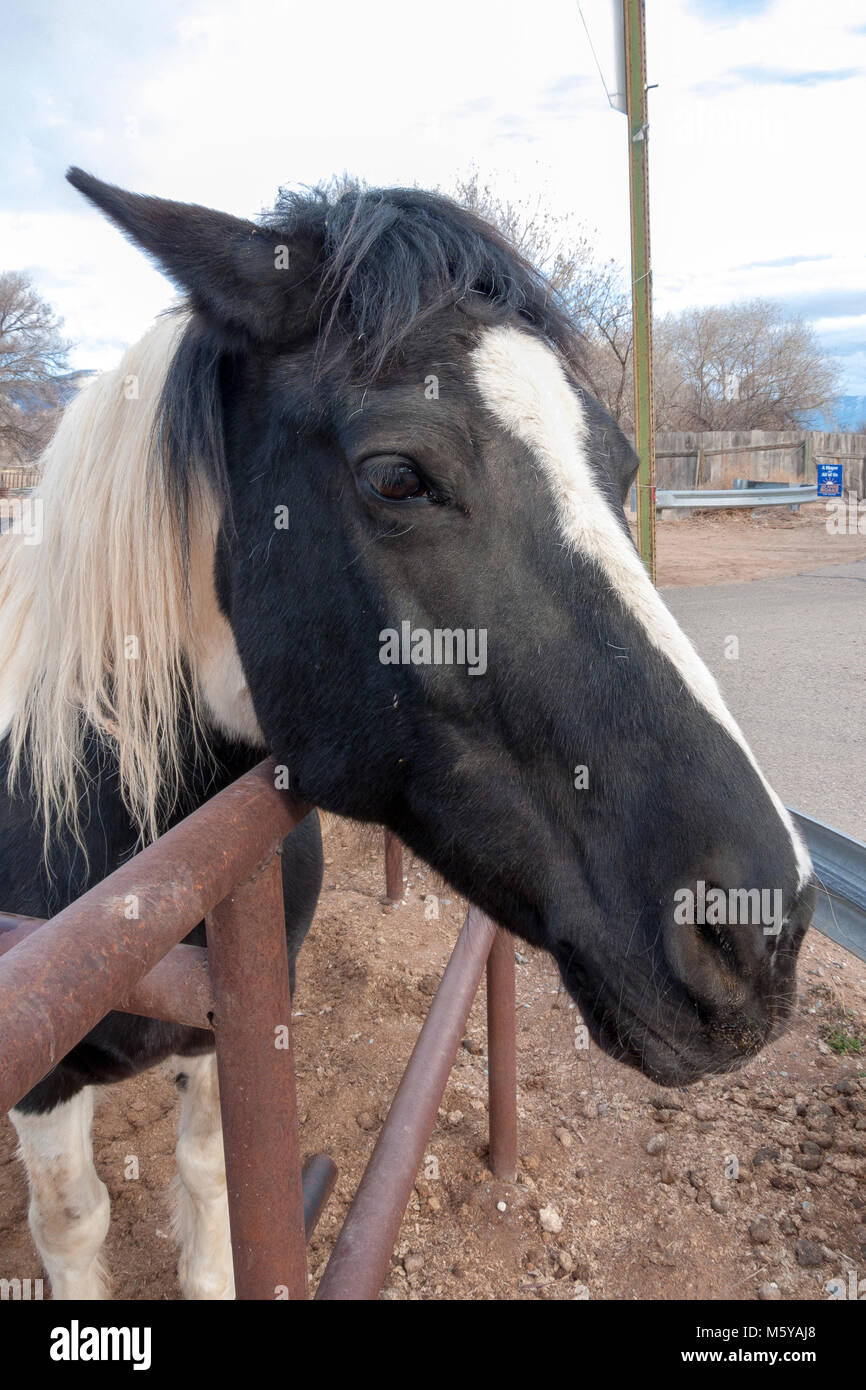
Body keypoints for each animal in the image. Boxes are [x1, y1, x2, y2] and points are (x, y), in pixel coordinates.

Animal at [0, 169, 815, 1300]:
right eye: (397, 475)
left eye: (618, 465)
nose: (760, 927)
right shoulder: (43, 1080)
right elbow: (74, 1220)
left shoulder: (227, 1019)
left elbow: (210, 1183)